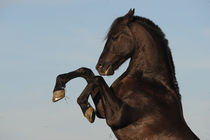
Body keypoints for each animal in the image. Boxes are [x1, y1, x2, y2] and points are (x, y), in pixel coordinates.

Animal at [52, 9, 199, 139]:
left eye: (115, 37)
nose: (100, 66)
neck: (149, 81)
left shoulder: (117, 116)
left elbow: (97, 79)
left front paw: (85, 107)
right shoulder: (102, 111)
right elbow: (86, 72)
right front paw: (58, 90)